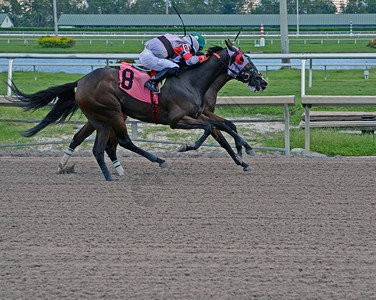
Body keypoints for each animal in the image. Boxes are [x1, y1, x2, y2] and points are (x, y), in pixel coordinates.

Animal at [9, 39, 268, 180]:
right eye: (243, 59)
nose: (262, 80)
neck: (192, 81)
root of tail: (81, 80)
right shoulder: (178, 120)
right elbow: (211, 129)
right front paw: (187, 147)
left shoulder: (200, 113)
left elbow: (223, 127)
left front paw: (243, 156)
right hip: (113, 113)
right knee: (122, 142)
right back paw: (158, 161)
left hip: (102, 116)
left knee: (90, 140)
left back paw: (71, 165)